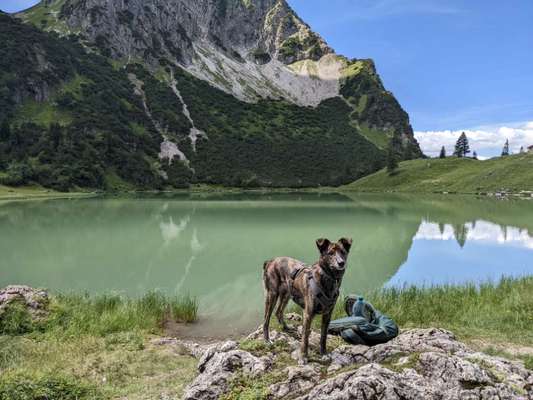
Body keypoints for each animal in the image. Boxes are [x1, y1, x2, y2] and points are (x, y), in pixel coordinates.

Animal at [262, 238, 354, 366]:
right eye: (330, 253)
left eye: (343, 252)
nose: (341, 263)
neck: (328, 279)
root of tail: (271, 261)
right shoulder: (308, 314)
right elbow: (305, 339)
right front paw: (303, 357)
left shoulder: (327, 315)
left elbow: (323, 337)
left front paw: (324, 354)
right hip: (272, 295)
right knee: (266, 319)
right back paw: (267, 340)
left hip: (286, 294)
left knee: (278, 311)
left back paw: (286, 328)